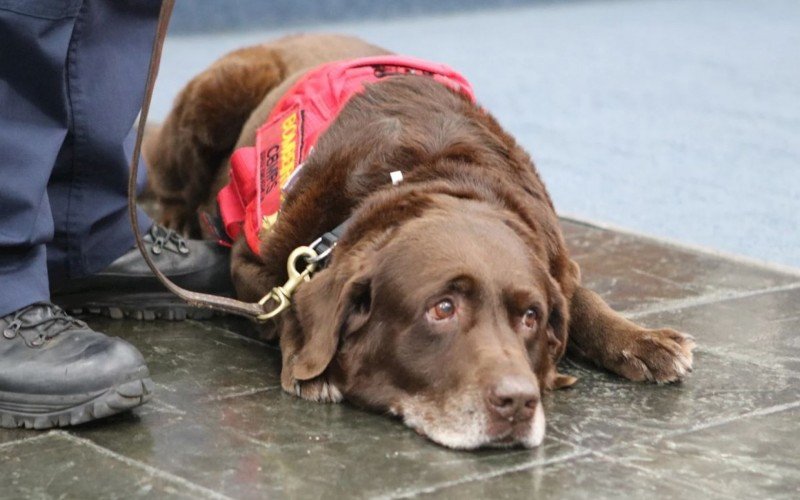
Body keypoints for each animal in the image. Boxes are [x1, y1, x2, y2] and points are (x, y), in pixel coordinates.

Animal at [147, 35, 696, 450]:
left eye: (531, 317)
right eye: (442, 308)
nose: (519, 402)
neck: (429, 175)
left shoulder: (555, 259)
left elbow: (582, 297)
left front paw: (641, 340)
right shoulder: (251, 263)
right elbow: (285, 307)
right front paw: (314, 365)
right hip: (212, 100)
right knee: (170, 179)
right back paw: (176, 224)